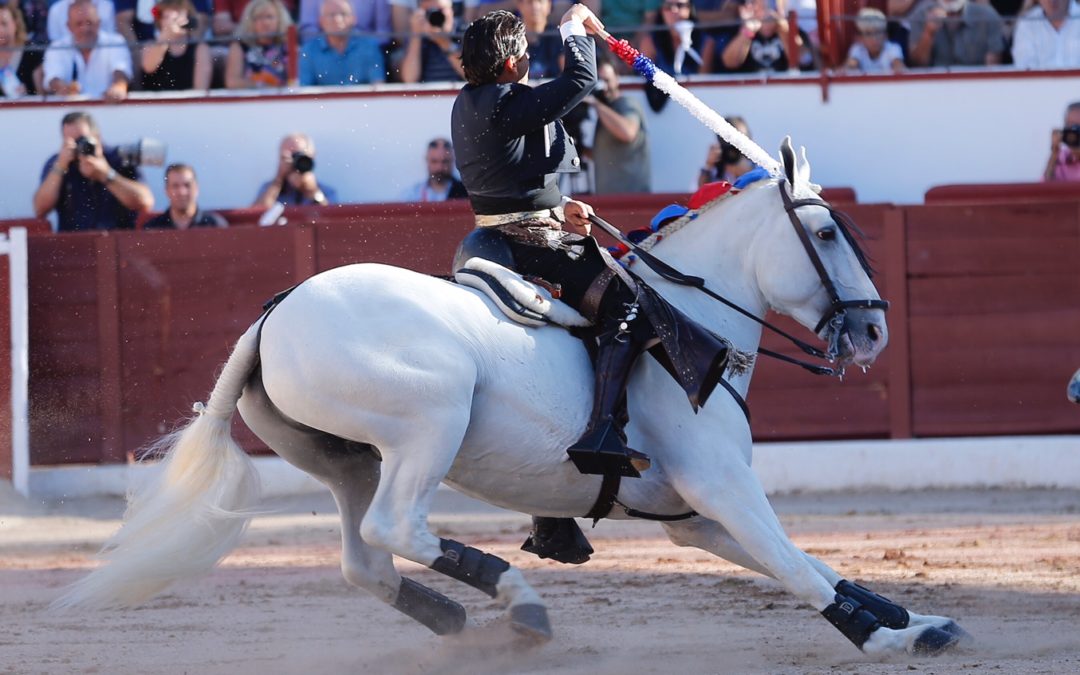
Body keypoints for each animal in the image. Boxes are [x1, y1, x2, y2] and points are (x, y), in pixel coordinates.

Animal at [56, 140, 972, 656]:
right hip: (431, 421)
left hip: (346, 458)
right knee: (398, 527)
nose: (873, 331)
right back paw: (518, 599)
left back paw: (470, 622)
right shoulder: (722, 489)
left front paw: (917, 621)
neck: (691, 323)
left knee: (364, 556)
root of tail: (273, 312)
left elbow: (811, 560)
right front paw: (884, 636)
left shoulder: (693, 517)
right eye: (824, 232)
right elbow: (793, 563)